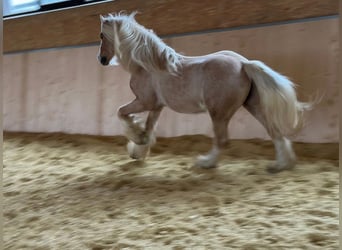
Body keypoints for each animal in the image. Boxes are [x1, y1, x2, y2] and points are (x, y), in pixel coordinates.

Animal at [97, 12, 312, 173]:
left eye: (101, 35)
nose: (102, 59)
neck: (148, 65)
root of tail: (243, 64)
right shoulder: (157, 106)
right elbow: (148, 128)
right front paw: (138, 150)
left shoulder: (144, 101)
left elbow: (121, 112)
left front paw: (136, 138)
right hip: (253, 106)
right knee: (274, 132)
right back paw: (280, 165)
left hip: (219, 113)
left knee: (223, 140)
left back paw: (205, 163)